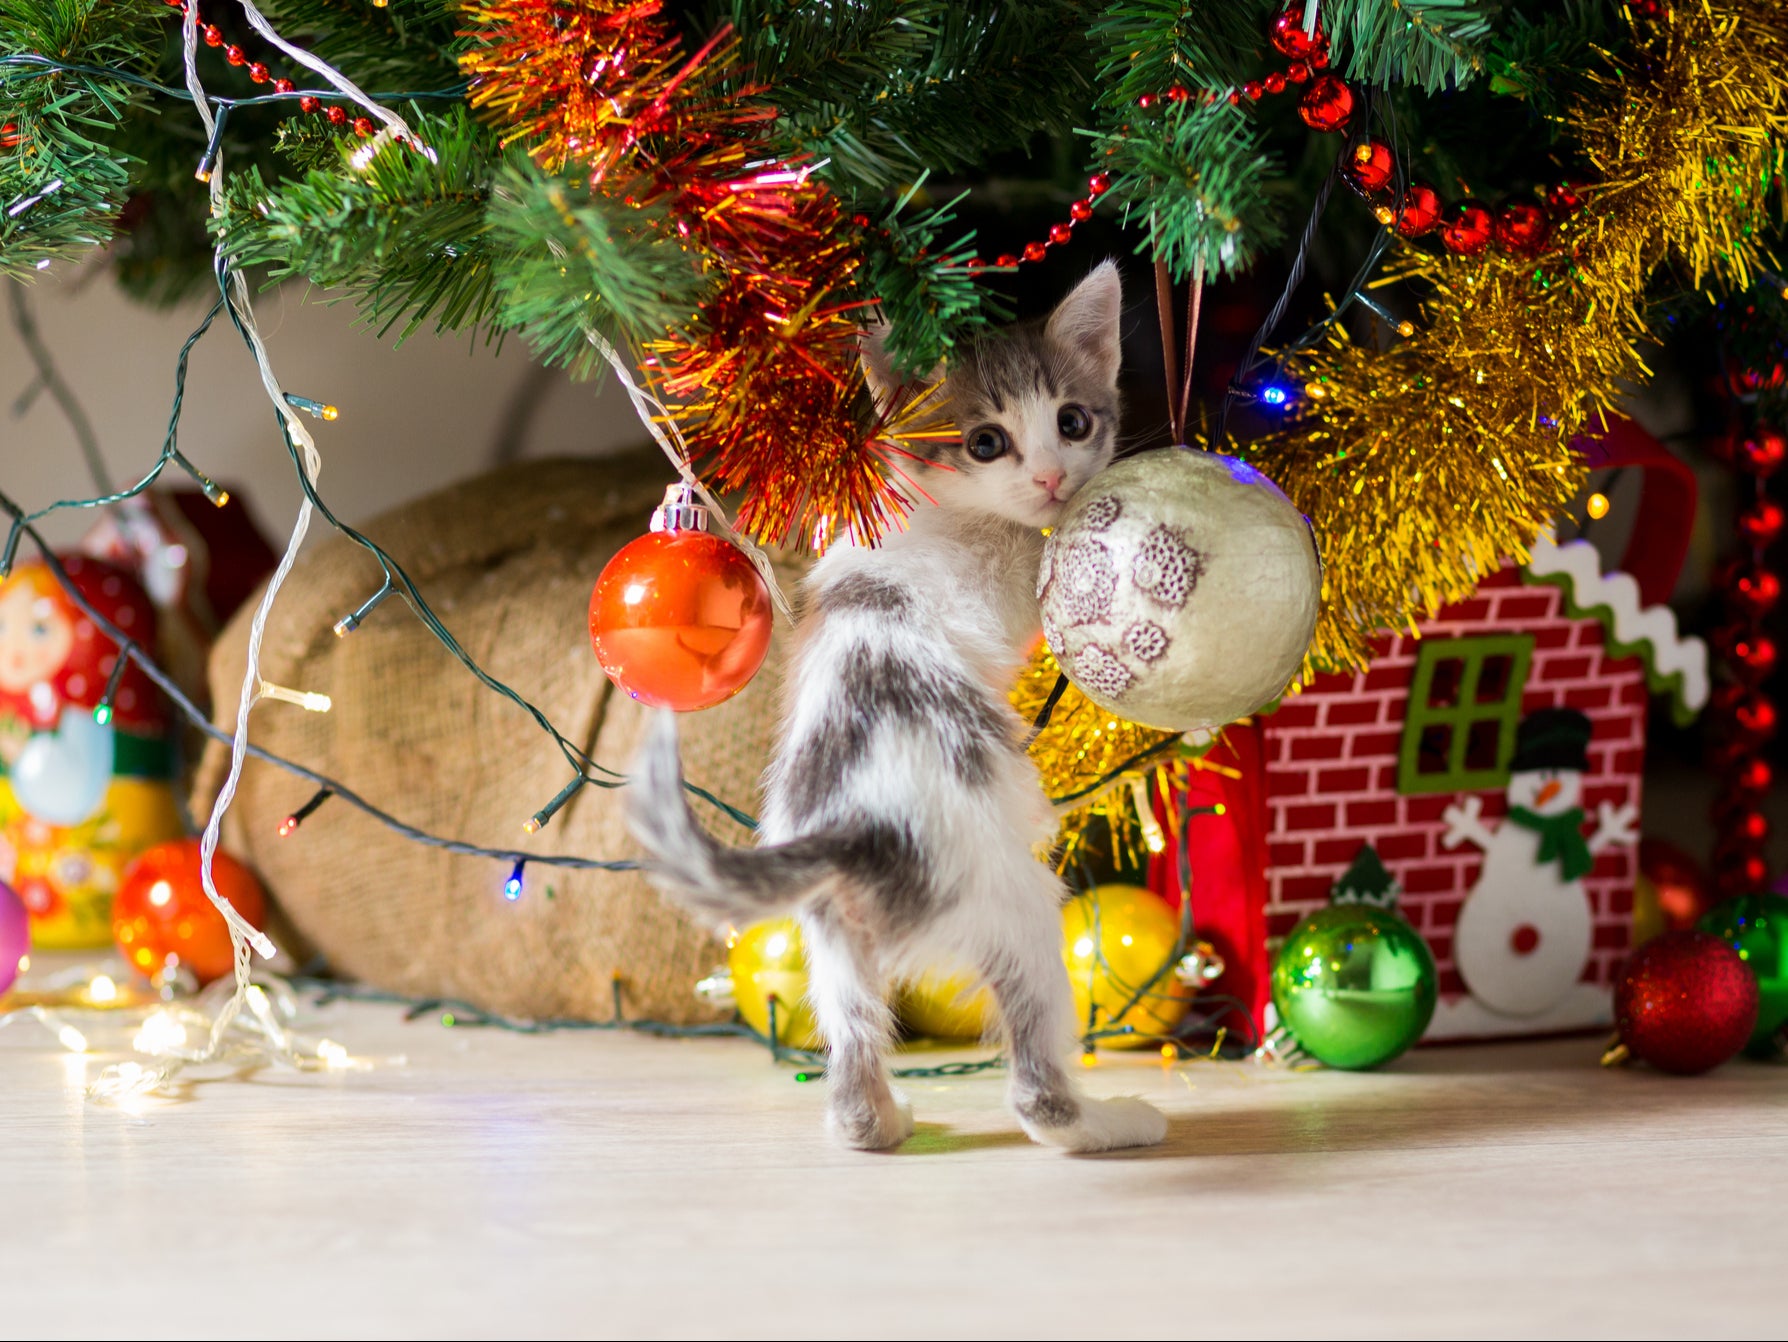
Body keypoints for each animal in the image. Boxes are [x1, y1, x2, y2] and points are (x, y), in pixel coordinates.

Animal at [632, 264, 1172, 1157]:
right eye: (985, 442)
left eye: (1073, 420)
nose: (1054, 479)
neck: (942, 506)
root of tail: (858, 825)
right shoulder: (995, 585)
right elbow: (1043, 577)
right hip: (1013, 901)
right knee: (1035, 1084)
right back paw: (1105, 1123)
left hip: (829, 935)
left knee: (851, 1048)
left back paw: (877, 1120)